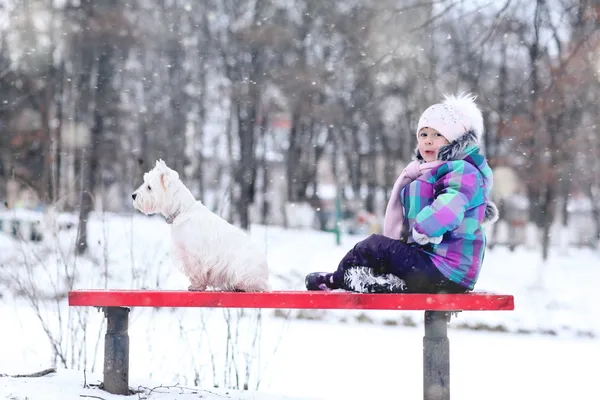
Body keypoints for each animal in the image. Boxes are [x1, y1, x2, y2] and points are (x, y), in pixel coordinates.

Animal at [135, 158, 270, 292]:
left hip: (243, 269)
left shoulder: (194, 255)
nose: (133, 195)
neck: (182, 210)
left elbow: (196, 272)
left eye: (149, 187)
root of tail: (265, 273)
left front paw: (196, 286)